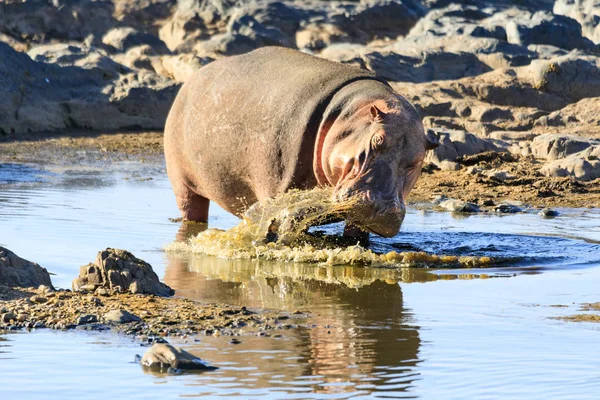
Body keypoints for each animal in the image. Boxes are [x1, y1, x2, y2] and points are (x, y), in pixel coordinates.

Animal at [164, 47, 436, 238]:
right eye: (376, 140)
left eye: (416, 162)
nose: (382, 207)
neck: (349, 115)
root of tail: (193, 78)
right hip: (182, 182)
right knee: (192, 210)